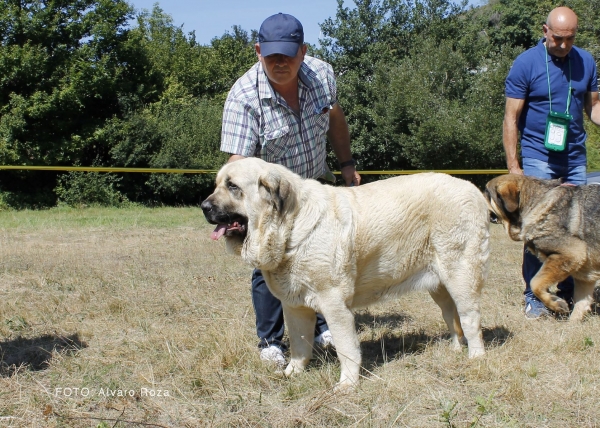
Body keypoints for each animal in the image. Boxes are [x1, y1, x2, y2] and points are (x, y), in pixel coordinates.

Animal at [202, 159, 492, 390]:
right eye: (217, 185)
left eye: (233, 186)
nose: (204, 206)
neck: (291, 225)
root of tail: (472, 189)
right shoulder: (295, 307)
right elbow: (299, 345)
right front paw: (292, 373)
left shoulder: (334, 305)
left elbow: (346, 348)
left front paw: (347, 385)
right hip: (440, 287)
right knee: (451, 317)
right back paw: (454, 349)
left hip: (461, 276)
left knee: (470, 318)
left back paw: (476, 358)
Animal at [486, 174, 596, 320]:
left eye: (486, 193)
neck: (535, 204)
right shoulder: (585, 273)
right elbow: (581, 303)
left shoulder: (574, 252)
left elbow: (535, 283)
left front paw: (556, 304)